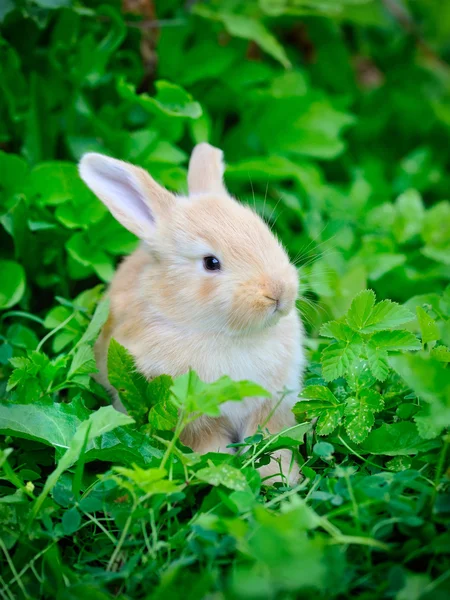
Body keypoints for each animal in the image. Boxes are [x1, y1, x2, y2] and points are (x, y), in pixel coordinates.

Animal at [79, 143, 308, 486]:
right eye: (211, 262)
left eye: (265, 233)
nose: (279, 292)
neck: (224, 334)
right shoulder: (194, 418)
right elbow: (208, 446)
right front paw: (218, 473)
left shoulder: (271, 407)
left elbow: (271, 443)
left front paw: (280, 480)